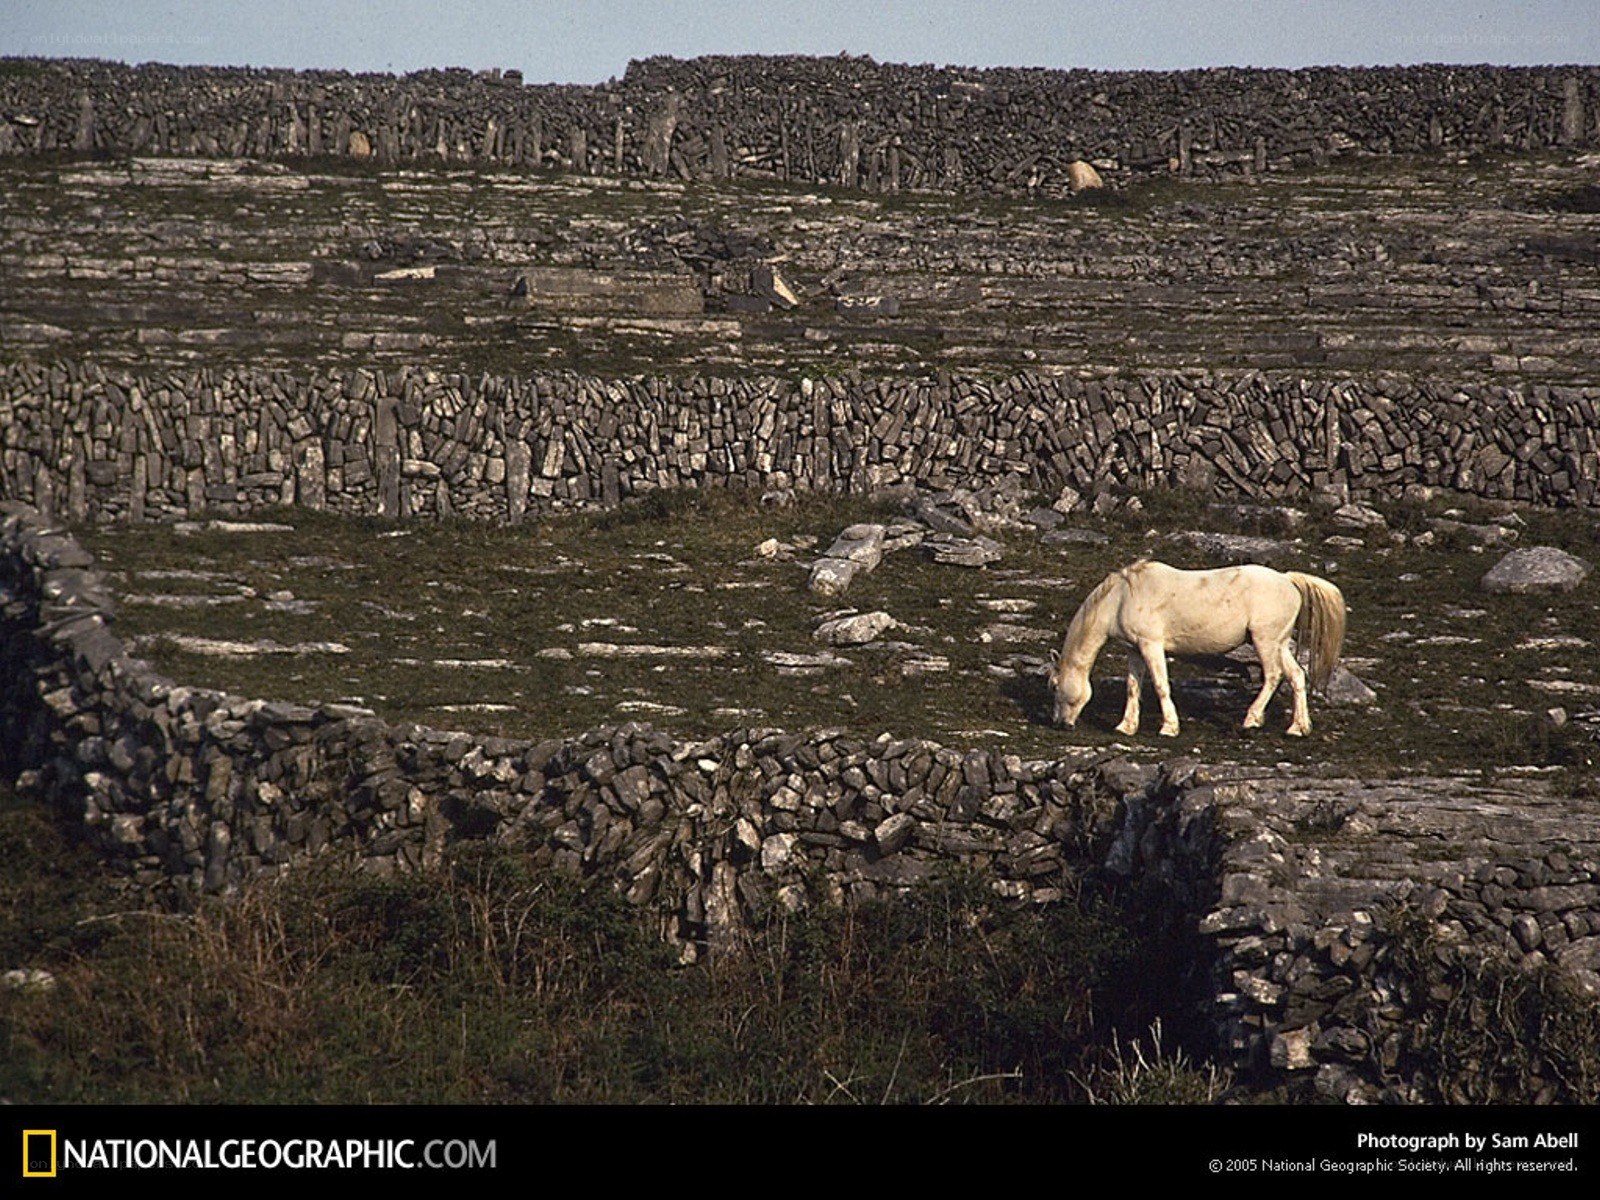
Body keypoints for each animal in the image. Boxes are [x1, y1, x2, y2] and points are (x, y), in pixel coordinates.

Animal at [1048, 559, 1346, 737]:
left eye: (1054, 685)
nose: (1059, 723)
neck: (1121, 598)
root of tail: (1287, 579)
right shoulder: (1134, 650)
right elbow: (1133, 686)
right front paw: (1126, 726)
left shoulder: (1151, 645)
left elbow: (1160, 685)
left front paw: (1169, 727)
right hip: (1280, 645)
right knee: (1296, 676)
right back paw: (1298, 727)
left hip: (1266, 642)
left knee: (1274, 675)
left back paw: (1251, 719)